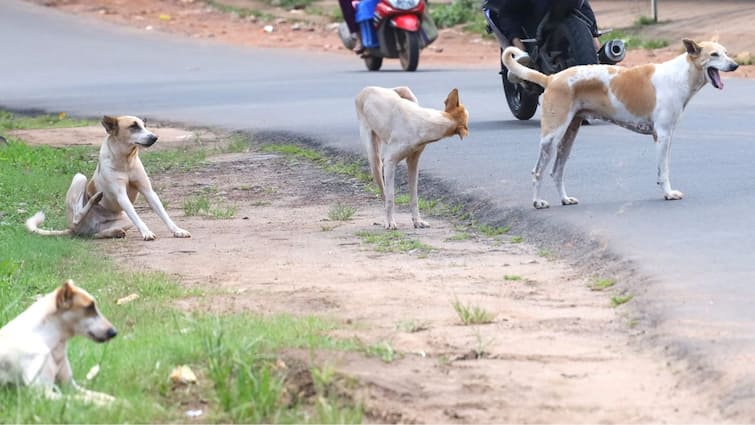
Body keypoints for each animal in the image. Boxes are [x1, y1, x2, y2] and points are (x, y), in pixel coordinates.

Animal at [26, 114, 192, 240]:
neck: (126, 160)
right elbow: (137, 217)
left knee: (95, 235)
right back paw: (94, 199)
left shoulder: (148, 192)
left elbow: (163, 213)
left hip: (123, 220)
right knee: (77, 215)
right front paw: (146, 232)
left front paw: (177, 230)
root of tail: (75, 229)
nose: (155, 137)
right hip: (80, 179)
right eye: (133, 126)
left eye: (144, 126)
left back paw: (114, 232)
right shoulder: (121, 195)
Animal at [358, 85, 470, 229]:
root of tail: (367, 88)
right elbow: (391, 197)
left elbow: (414, 195)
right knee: (384, 194)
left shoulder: (413, 162)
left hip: (407, 92)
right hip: (374, 159)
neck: (428, 122)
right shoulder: (389, 162)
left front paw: (417, 221)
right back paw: (386, 219)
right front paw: (390, 221)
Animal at [502, 39, 740, 208]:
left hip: (568, 138)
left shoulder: (667, 136)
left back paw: (565, 199)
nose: (735, 65)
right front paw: (668, 194)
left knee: (556, 172)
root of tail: (551, 79)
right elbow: (664, 170)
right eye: (714, 55)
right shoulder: (662, 134)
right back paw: (537, 202)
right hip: (551, 138)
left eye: (726, 52)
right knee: (538, 172)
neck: (680, 75)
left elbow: (662, 168)